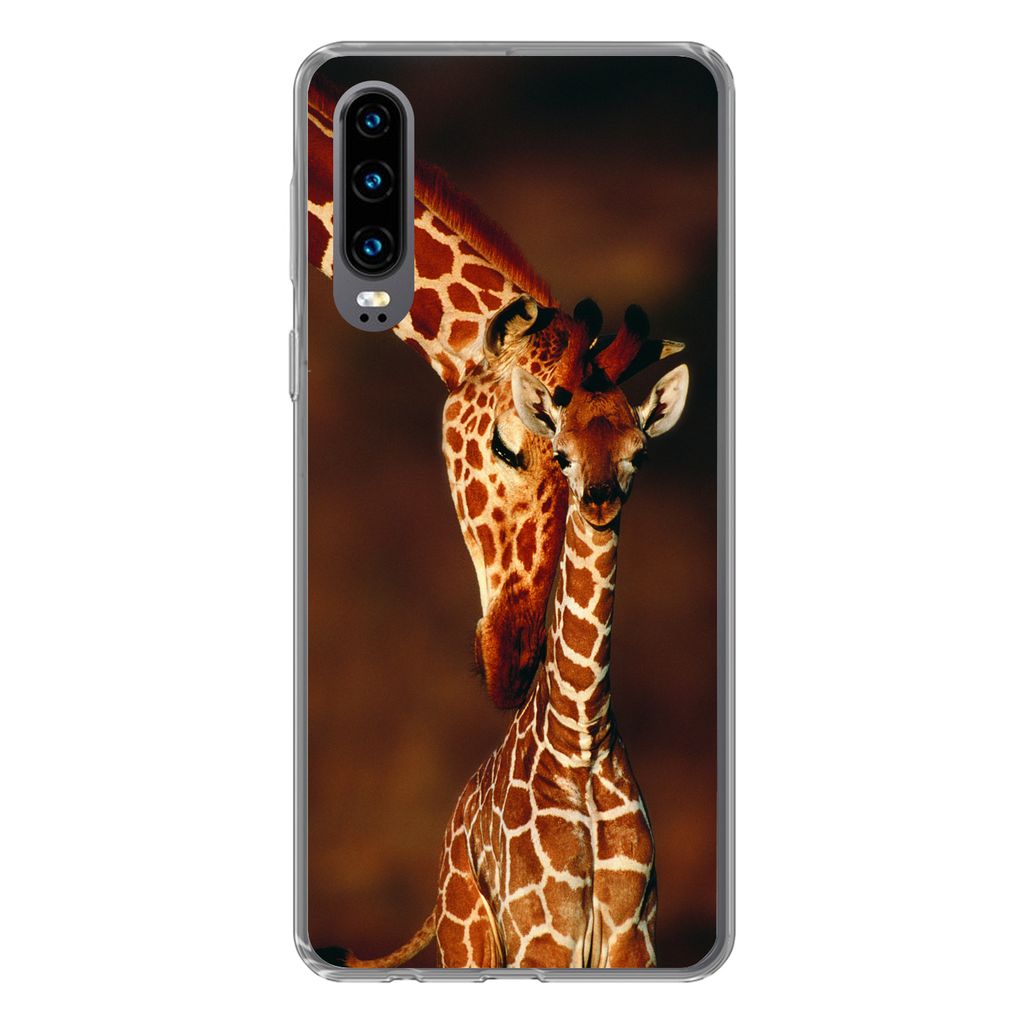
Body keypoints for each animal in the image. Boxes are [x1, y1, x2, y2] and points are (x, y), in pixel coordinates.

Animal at [334, 348, 691, 969]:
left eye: (639, 452)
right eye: (562, 454)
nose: (600, 500)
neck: (582, 739)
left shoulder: (634, 938)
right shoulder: (543, 937)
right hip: (469, 941)